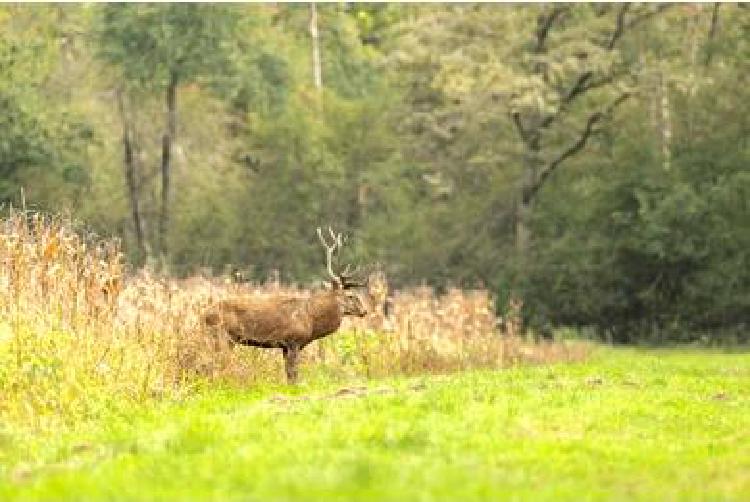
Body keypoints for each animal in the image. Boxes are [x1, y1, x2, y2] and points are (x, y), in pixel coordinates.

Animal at [203, 227, 374, 384]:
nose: (364, 311)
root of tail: (204, 315)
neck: (310, 319)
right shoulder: (293, 340)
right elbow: (293, 374)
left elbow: (289, 374)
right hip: (222, 335)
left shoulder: (285, 346)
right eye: (351, 296)